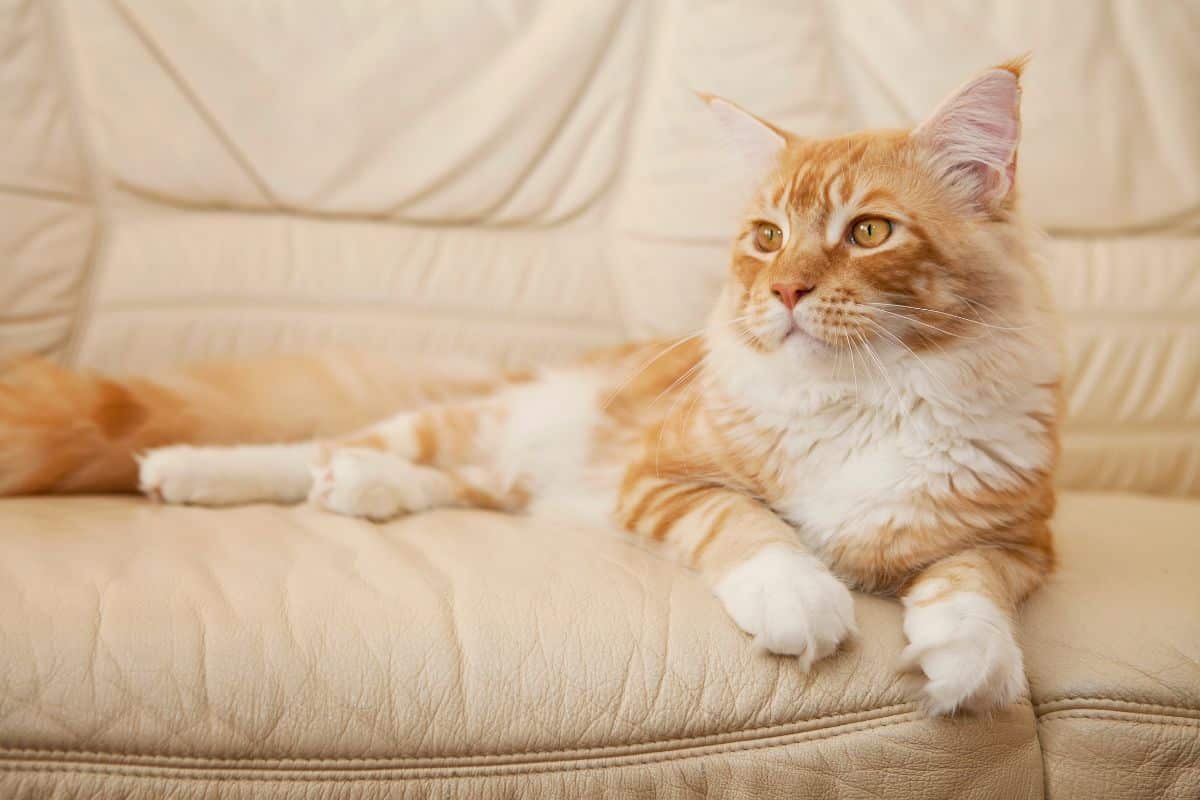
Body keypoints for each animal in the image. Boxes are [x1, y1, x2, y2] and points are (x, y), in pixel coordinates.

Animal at [0, 61, 1056, 714]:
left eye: (868, 233)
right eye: (765, 238)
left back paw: (365, 493)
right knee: (326, 446)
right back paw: (189, 470)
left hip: (514, 470)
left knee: (430, 478)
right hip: (478, 419)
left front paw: (971, 659)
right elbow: (751, 528)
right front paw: (802, 600)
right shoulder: (666, 476)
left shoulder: (1020, 536)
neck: (862, 401)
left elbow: (973, 584)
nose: (785, 291)